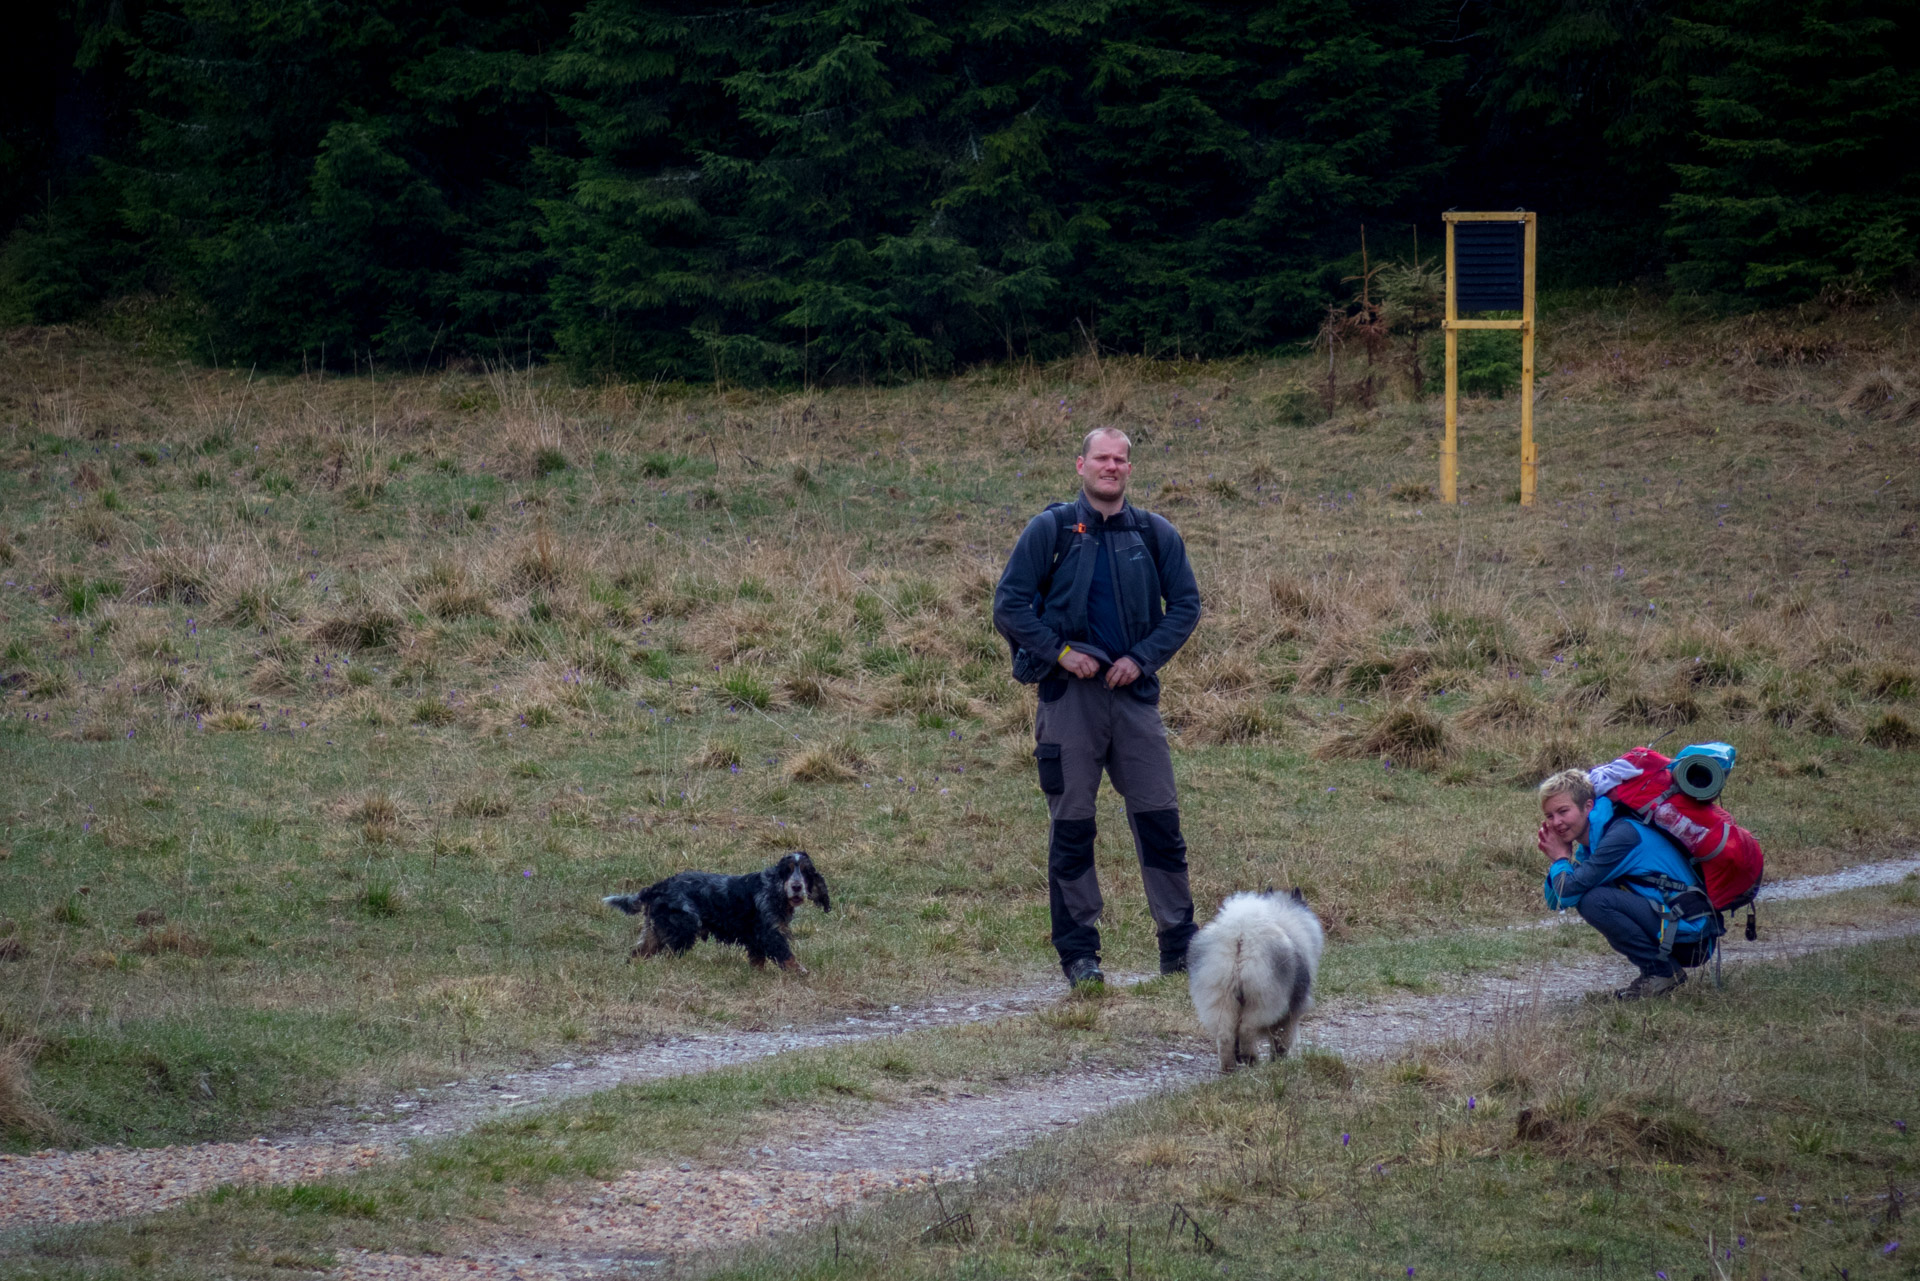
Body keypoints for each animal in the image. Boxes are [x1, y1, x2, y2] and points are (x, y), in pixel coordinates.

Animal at [606, 852, 833, 971]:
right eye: (788, 871)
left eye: (806, 872)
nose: (796, 886)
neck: (773, 889)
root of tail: (658, 887)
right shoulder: (769, 933)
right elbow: (786, 955)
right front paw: (800, 972)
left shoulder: (757, 937)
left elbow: (758, 960)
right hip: (682, 929)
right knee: (668, 955)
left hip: (656, 930)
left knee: (638, 953)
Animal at [1182, 891, 1320, 1075]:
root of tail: (1241, 936)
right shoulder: (1290, 1013)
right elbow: (1282, 1040)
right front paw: (1279, 1062)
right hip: (1263, 999)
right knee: (1247, 1030)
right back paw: (1251, 1060)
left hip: (1220, 997)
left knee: (1226, 1035)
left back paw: (1229, 1067)